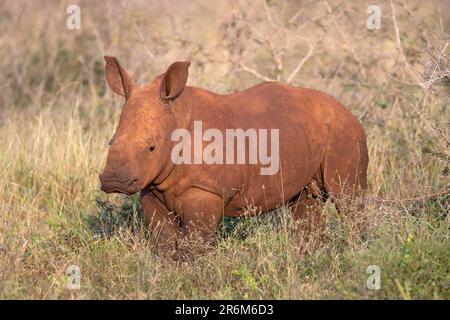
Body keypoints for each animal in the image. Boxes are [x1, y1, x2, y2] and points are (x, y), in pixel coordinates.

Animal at [99, 57, 370, 252]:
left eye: (151, 147)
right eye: (110, 142)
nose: (113, 180)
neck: (176, 117)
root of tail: (348, 111)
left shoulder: (206, 189)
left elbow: (194, 244)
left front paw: (190, 276)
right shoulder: (151, 187)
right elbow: (164, 241)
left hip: (345, 132)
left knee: (348, 199)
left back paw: (357, 252)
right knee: (305, 202)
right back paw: (309, 257)